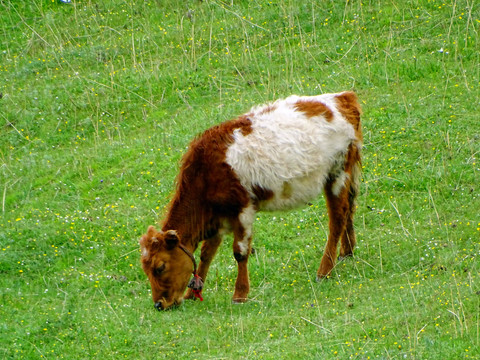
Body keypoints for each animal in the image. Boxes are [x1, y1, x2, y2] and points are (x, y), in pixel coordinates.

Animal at [141, 91, 362, 310]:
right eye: (146, 270)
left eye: (160, 267)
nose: (159, 304)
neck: (205, 172)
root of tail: (343, 97)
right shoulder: (219, 217)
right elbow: (206, 254)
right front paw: (191, 294)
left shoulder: (243, 209)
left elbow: (240, 252)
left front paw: (240, 295)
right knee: (349, 208)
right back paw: (347, 251)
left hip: (337, 174)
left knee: (337, 219)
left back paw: (324, 271)